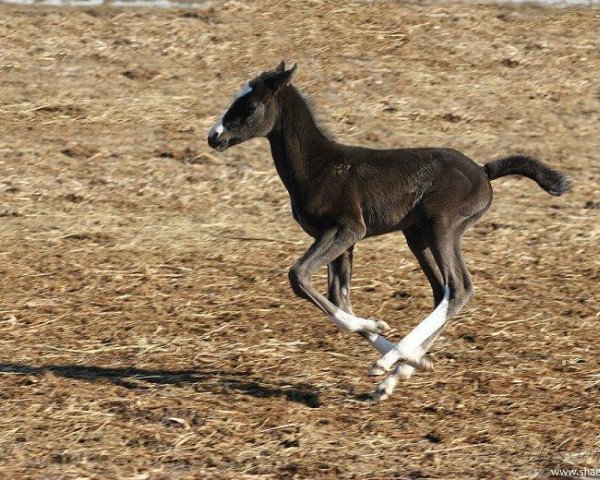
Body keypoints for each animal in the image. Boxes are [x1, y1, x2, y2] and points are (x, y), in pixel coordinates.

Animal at [207, 62, 572, 400]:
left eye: (250, 106)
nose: (213, 136)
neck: (319, 166)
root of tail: (483, 173)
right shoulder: (342, 241)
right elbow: (339, 296)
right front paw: (404, 356)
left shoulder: (347, 229)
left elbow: (299, 276)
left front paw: (385, 348)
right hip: (418, 236)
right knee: (443, 291)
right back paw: (400, 370)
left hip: (442, 225)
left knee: (459, 288)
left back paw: (392, 363)